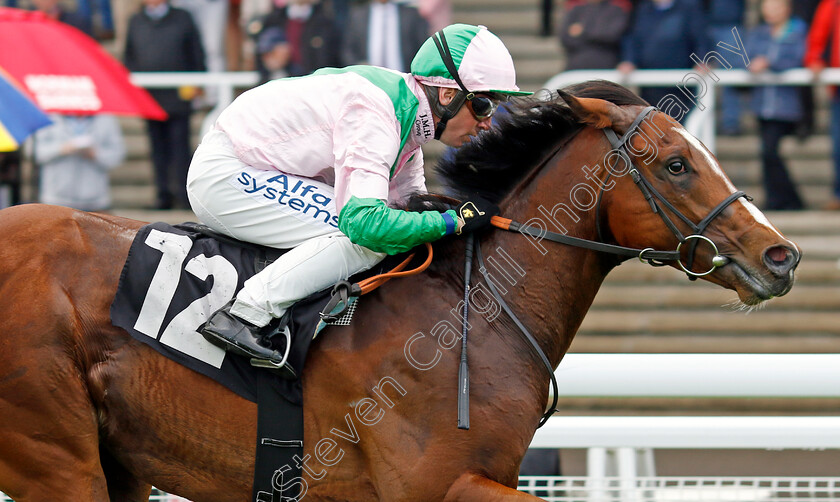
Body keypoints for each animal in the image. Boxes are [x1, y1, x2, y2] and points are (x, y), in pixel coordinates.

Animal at [0, 80, 800, 500]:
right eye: (674, 165)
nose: (781, 254)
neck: (471, 313)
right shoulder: (439, 484)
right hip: (55, 453)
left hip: (119, 461)